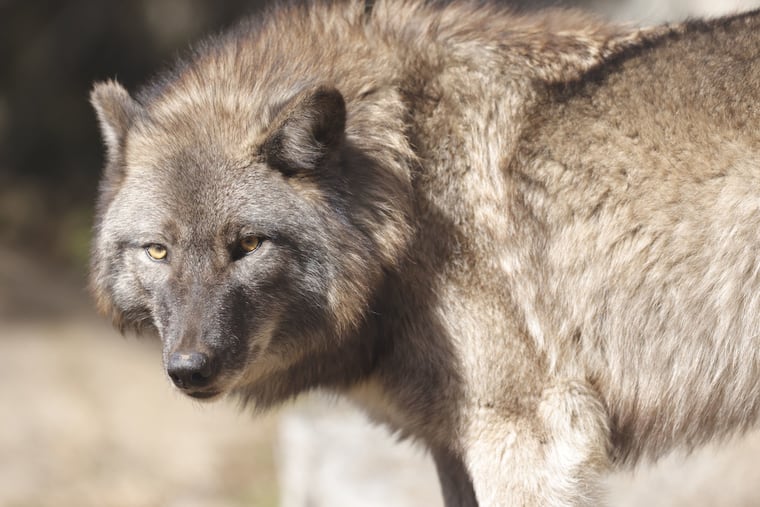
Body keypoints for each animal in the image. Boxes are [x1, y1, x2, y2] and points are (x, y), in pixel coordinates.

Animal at [89, 1, 760, 505]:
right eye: (157, 251)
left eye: (248, 244)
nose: (189, 368)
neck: (406, 184)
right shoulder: (454, 445)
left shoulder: (525, 439)